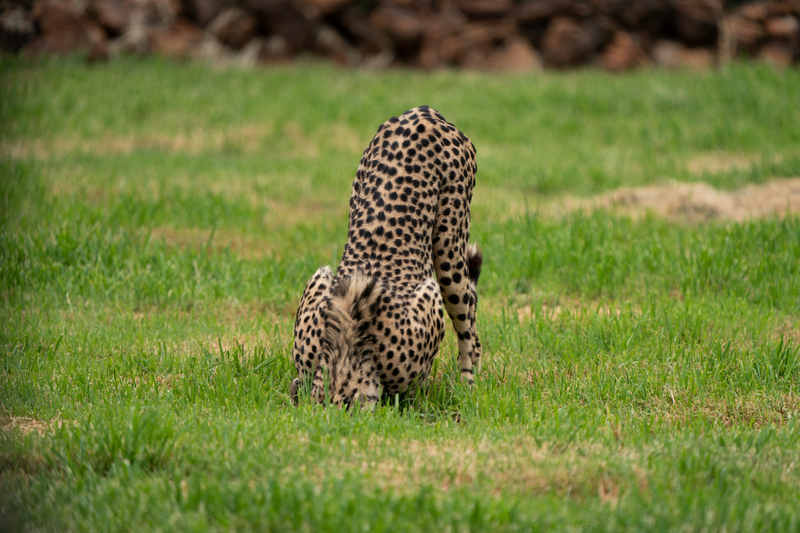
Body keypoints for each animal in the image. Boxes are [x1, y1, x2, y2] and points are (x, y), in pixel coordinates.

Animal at [292, 107, 484, 408]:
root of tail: (425, 112)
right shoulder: (319, 281)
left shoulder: (429, 300)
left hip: (449, 246)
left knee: (468, 318)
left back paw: (468, 384)